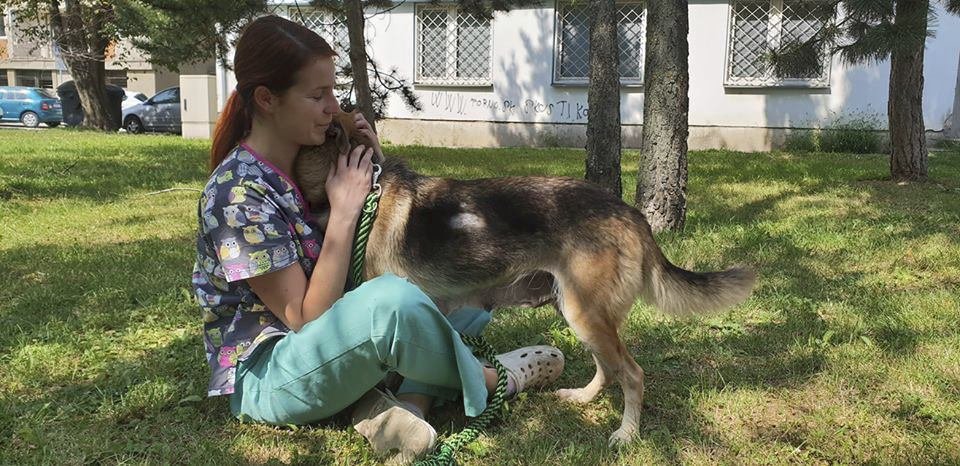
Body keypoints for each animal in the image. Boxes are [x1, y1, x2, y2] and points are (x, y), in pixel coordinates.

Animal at [294, 111, 756, 446]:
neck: (366, 194)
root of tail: (631, 214)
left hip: (585, 315)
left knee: (632, 374)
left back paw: (626, 434)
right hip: (579, 313)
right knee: (609, 369)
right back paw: (582, 398)